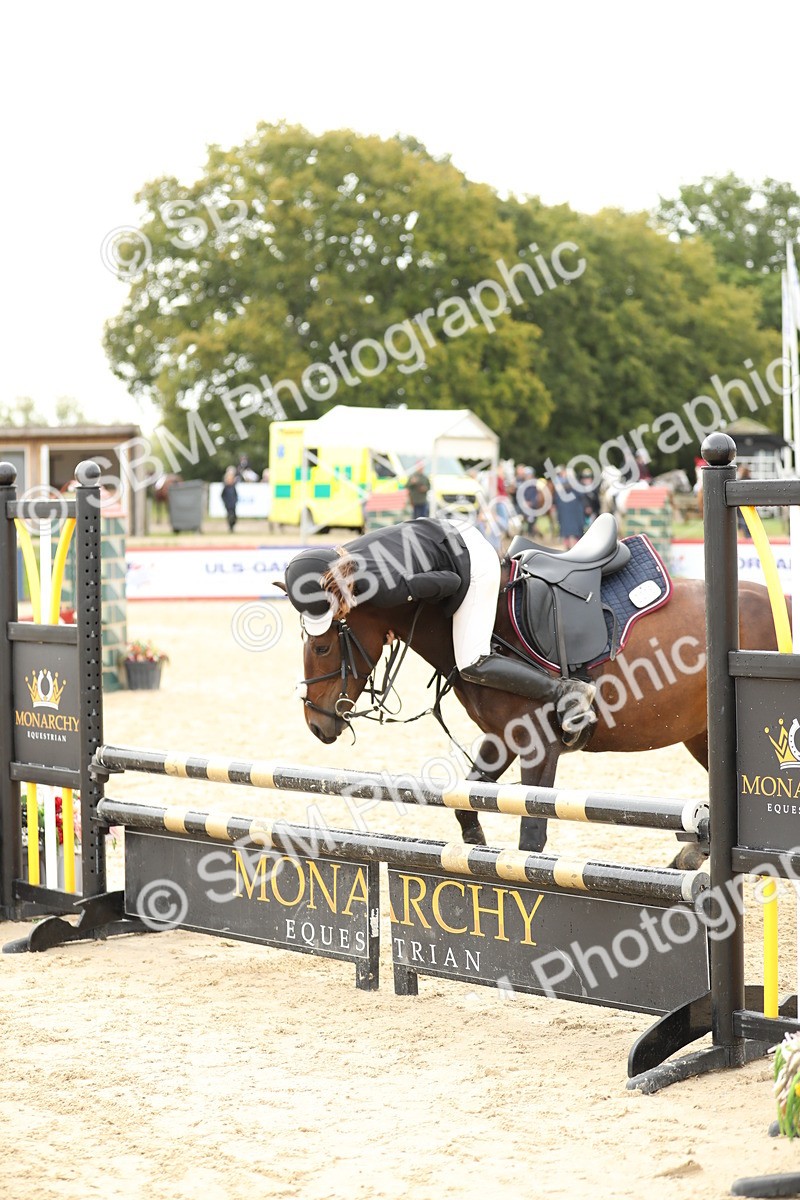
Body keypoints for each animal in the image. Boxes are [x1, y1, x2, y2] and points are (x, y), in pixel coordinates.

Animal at [289, 554, 779, 853]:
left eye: (323, 647)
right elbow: (465, 803)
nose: (315, 724)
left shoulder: (539, 748)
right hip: (702, 737)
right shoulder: (502, 739)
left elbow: (531, 838)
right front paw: (477, 846)